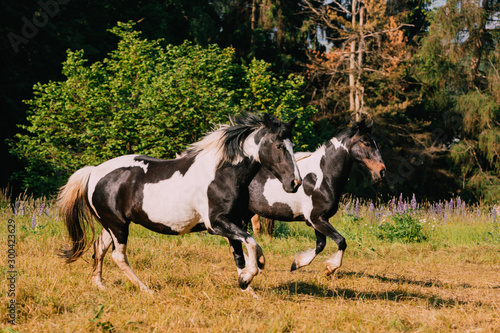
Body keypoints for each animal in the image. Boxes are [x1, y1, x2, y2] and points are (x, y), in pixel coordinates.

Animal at [58, 113, 300, 290]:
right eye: (279, 146)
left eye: (292, 146)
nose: (295, 182)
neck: (221, 174)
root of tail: (93, 172)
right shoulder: (217, 224)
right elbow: (251, 243)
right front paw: (253, 272)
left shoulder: (234, 222)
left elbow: (241, 254)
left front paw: (246, 284)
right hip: (118, 226)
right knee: (118, 256)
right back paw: (145, 289)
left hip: (113, 225)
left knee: (99, 247)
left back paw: (99, 285)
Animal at [248, 119, 384, 274]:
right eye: (366, 143)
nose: (382, 171)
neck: (322, 177)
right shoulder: (316, 219)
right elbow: (341, 241)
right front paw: (330, 268)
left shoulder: (321, 220)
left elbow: (321, 244)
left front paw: (297, 264)